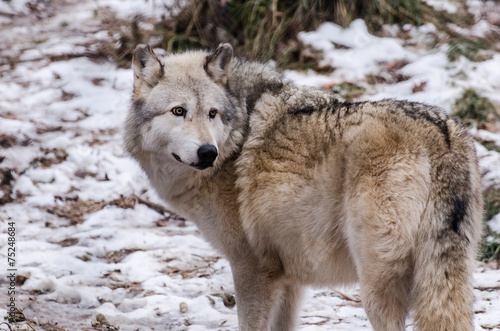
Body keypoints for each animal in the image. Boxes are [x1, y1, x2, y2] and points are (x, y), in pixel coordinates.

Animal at [125, 44, 484, 331]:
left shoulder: (251, 268)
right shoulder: (289, 277)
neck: (236, 139)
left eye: (212, 113)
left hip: (375, 285)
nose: (207, 152)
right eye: (179, 111)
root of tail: (442, 135)